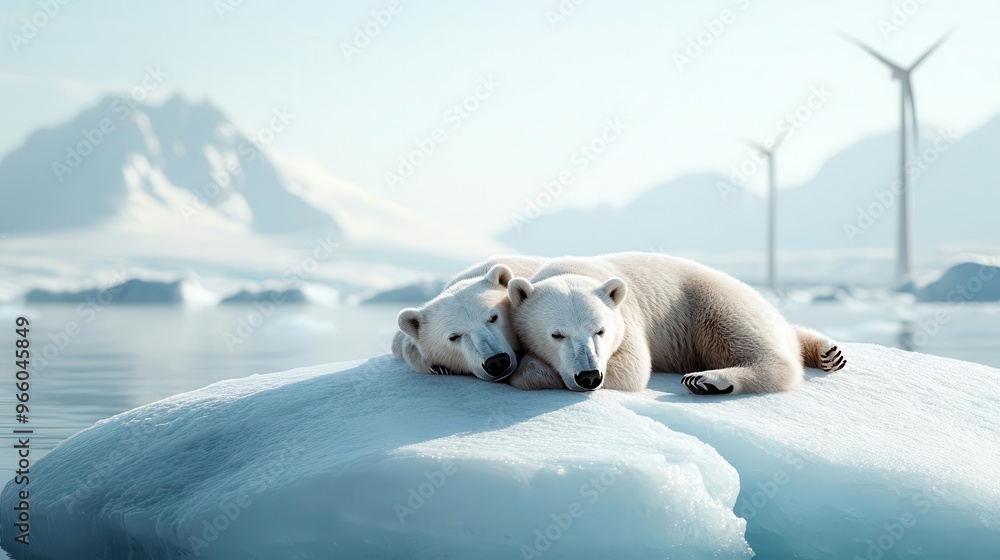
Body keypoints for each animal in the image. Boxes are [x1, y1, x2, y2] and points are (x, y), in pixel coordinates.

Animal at [508, 254, 844, 394]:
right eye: (557, 334)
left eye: (599, 330)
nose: (589, 376)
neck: (571, 270)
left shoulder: (627, 320)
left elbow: (632, 368)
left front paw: (526, 371)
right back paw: (828, 352)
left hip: (712, 302)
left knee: (754, 345)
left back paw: (707, 380)